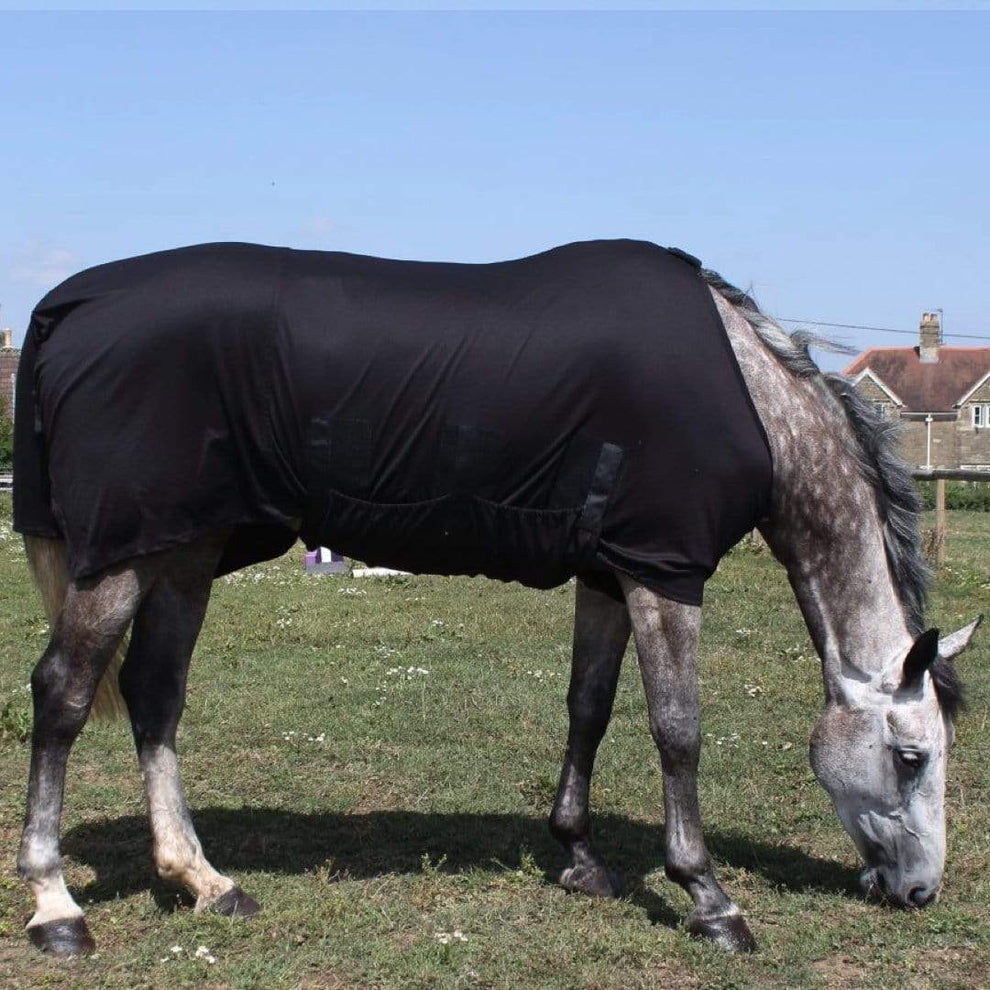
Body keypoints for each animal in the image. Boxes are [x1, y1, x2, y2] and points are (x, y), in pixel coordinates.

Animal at [11, 239, 979, 958]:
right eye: (912, 757)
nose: (920, 890)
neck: (751, 395)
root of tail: (70, 302)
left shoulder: (610, 571)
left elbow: (588, 706)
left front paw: (580, 856)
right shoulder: (663, 571)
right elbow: (677, 730)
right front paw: (708, 897)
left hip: (185, 546)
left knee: (154, 694)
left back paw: (203, 881)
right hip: (122, 559)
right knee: (62, 695)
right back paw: (55, 907)